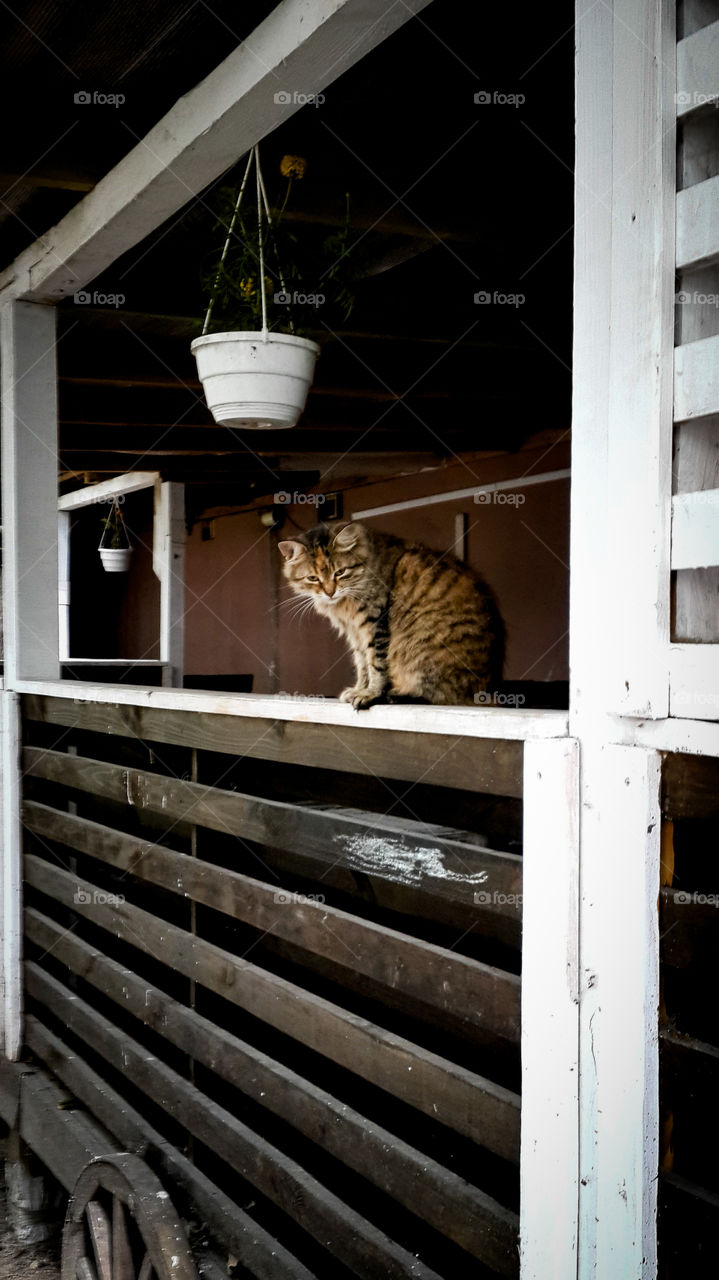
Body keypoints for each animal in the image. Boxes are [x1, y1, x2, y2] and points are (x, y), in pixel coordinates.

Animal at [277, 519, 501, 711]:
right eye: (313, 578)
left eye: (340, 572)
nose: (330, 592)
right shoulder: (355, 633)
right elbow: (362, 665)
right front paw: (359, 689)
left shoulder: (375, 623)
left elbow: (376, 665)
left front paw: (369, 694)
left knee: (435, 695)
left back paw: (394, 695)